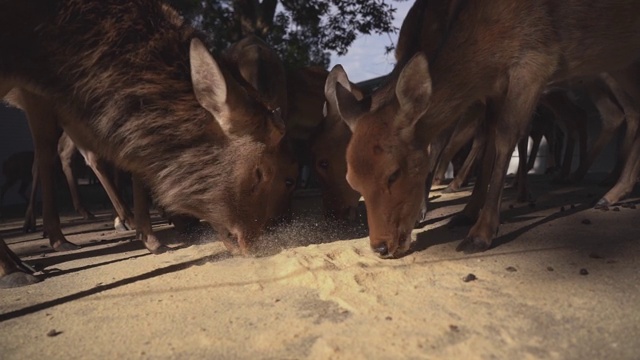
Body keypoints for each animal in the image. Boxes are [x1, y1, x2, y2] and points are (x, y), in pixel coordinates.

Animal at [0, 0, 296, 286]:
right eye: (261, 172)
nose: (255, 243)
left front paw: (151, 237)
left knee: (59, 154)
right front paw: (10, 271)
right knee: (50, 153)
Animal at [324, 0, 640, 258]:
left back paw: (602, 188)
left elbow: (504, 138)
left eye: (393, 174)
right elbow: (488, 143)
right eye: (353, 180)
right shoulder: (492, 90)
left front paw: (480, 233)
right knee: (627, 112)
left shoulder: (535, 61)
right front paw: (466, 213)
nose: (380, 246)